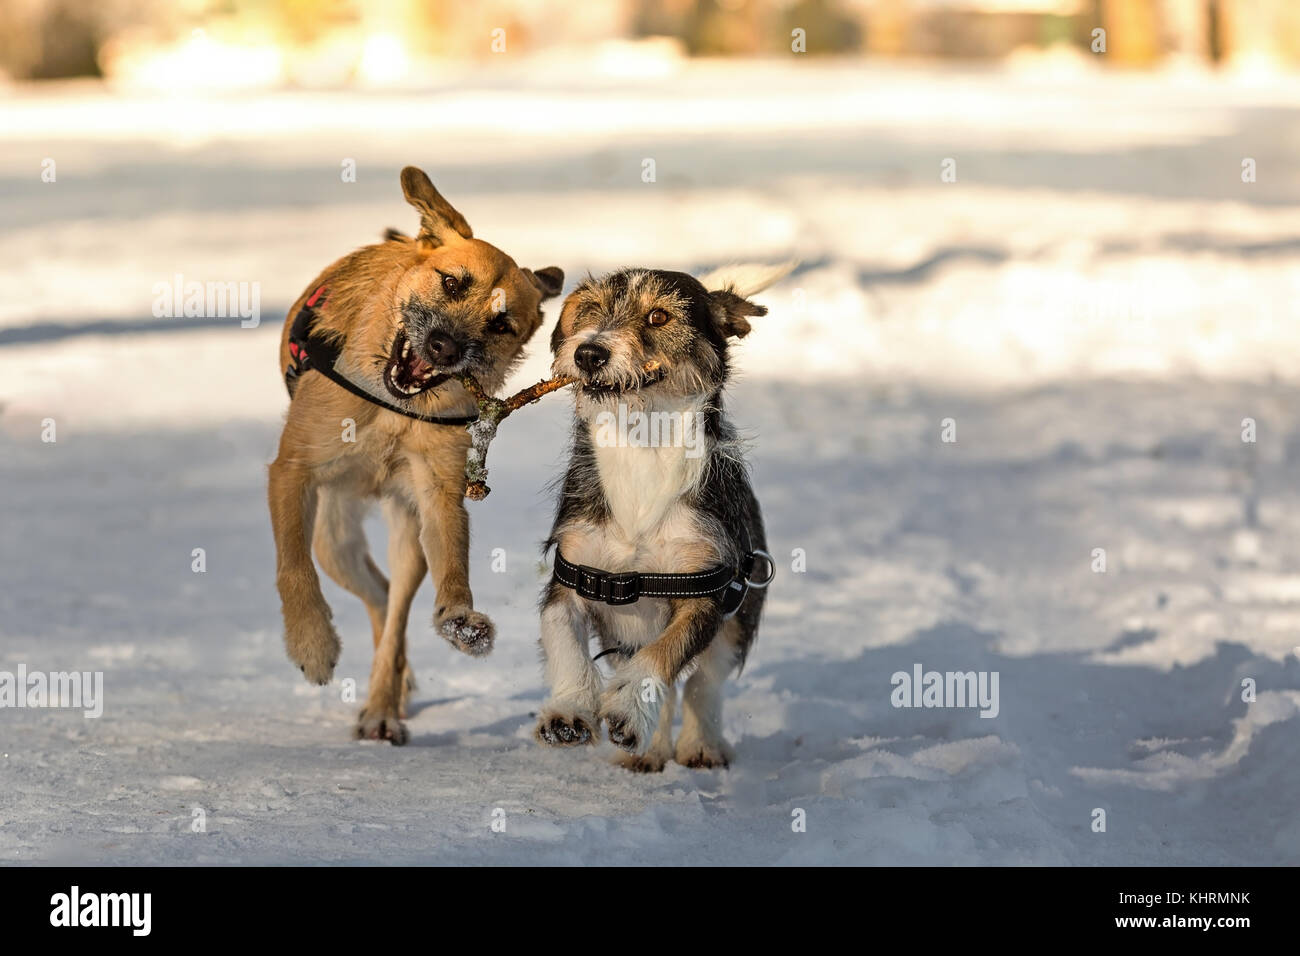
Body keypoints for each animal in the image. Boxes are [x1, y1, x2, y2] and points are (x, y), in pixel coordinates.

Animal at [266, 167, 561, 743]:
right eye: (451, 282)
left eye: (502, 325)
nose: (445, 346)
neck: (392, 409)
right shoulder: (292, 473)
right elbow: (293, 567)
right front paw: (312, 642)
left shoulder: (439, 492)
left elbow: (454, 567)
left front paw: (461, 620)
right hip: (333, 537)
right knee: (373, 595)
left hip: (406, 534)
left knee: (394, 607)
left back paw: (383, 705)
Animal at [533, 265, 785, 775]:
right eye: (592, 310)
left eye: (658, 316)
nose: (588, 352)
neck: (639, 450)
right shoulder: (571, 577)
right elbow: (564, 640)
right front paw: (568, 710)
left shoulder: (704, 594)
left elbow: (663, 656)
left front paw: (630, 709)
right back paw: (647, 751)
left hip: (739, 619)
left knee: (702, 683)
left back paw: (700, 745)